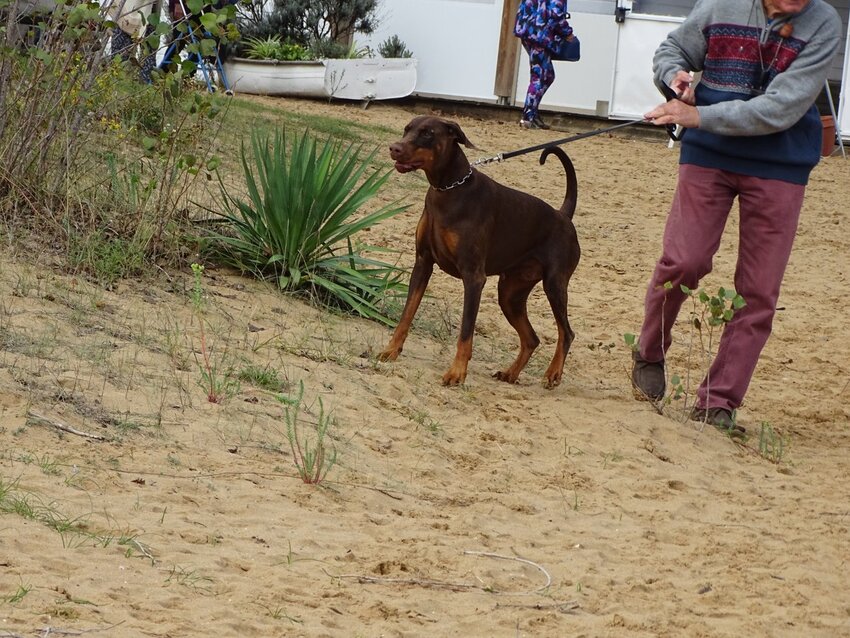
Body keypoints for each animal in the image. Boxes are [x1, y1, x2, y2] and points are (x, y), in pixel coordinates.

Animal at [380, 115, 584, 388]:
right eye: (406, 129)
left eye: (428, 133)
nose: (395, 148)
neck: (448, 189)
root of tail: (564, 216)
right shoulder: (422, 263)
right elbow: (406, 314)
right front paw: (390, 350)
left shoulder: (473, 277)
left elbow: (466, 330)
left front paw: (456, 373)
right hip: (510, 294)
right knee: (532, 338)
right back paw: (510, 373)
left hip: (554, 284)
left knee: (567, 333)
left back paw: (553, 374)